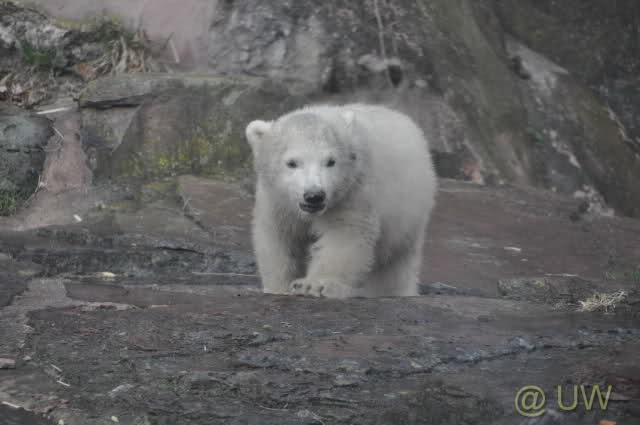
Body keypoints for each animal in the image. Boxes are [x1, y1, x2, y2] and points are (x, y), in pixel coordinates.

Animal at [245, 103, 437, 298]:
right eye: (291, 163)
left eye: (331, 161)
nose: (314, 196)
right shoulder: (276, 201)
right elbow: (279, 238)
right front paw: (280, 287)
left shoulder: (352, 191)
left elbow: (343, 234)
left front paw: (314, 285)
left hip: (407, 209)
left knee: (394, 263)